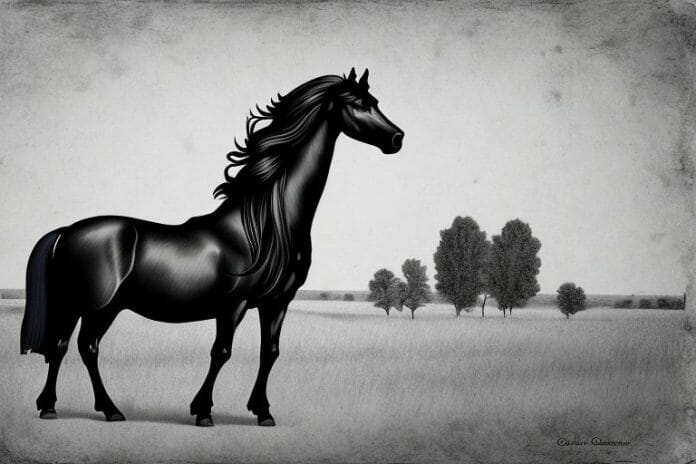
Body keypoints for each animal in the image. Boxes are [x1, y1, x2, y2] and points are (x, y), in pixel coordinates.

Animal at [20, 68, 403, 427]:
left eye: (375, 102)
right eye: (359, 105)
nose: (397, 138)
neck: (265, 227)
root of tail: (67, 231)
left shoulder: (278, 302)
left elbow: (270, 352)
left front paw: (263, 412)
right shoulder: (233, 305)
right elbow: (221, 352)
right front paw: (203, 411)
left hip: (93, 306)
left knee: (71, 346)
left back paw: (70, 407)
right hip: (92, 305)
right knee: (78, 347)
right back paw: (88, 409)